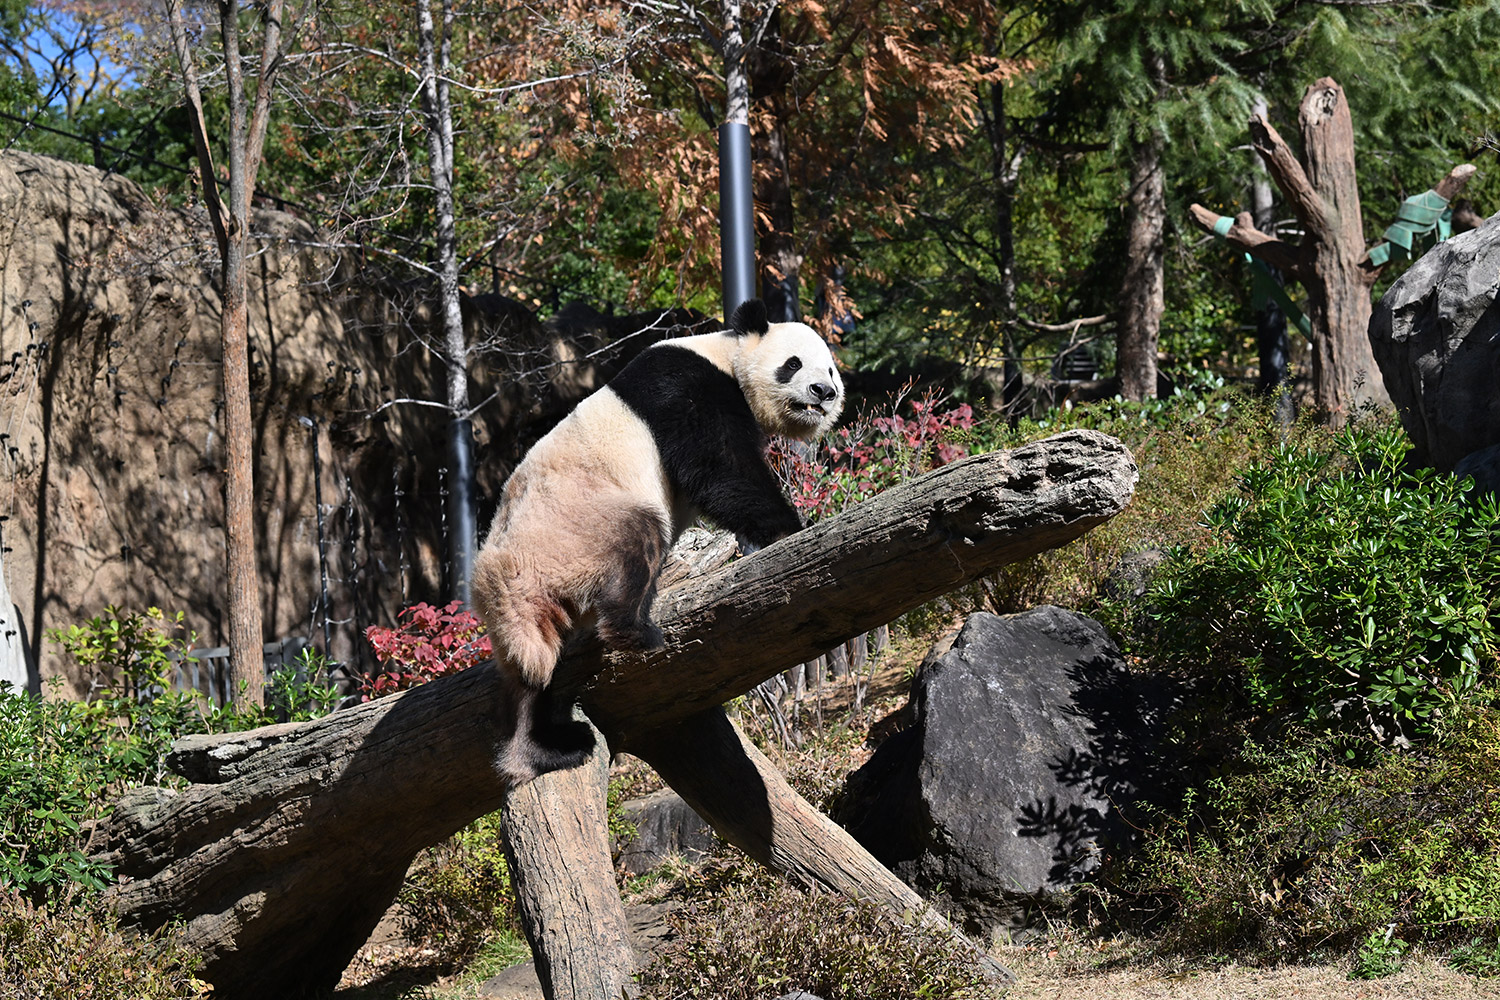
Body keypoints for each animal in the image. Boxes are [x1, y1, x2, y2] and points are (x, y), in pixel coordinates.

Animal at [474, 298, 844, 785]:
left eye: (832, 369)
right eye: (794, 363)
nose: (824, 392)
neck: (726, 354)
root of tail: (498, 583)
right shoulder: (685, 384)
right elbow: (718, 464)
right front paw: (786, 527)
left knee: (532, 687)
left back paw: (548, 750)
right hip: (577, 529)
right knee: (638, 540)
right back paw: (637, 632)